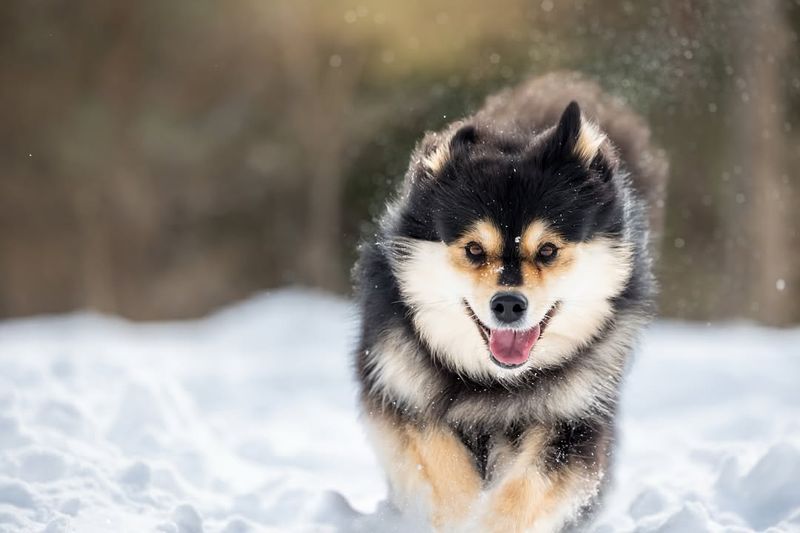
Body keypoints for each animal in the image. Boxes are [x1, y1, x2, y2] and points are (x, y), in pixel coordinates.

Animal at [354, 71, 668, 532]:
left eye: (548, 250)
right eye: (473, 250)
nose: (508, 305)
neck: (493, 384)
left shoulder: (573, 419)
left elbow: (525, 487)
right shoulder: (401, 390)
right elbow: (443, 464)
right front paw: (463, 516)